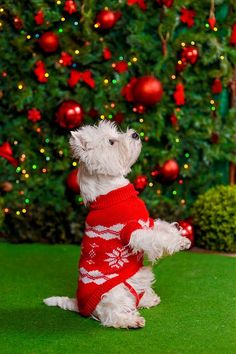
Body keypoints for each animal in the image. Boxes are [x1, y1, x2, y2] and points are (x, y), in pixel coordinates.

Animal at [43, 121, 190, 330]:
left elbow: (164, 228)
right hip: (114, 293)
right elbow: (157, 238)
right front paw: (177, 243)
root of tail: (78, 304)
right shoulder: (133, 231)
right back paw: (132, 321)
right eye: (111, 142)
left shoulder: (146, 221)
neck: (112, 192)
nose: (136, 134)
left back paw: (148, 299)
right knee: (110, 315)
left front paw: (183, 239)